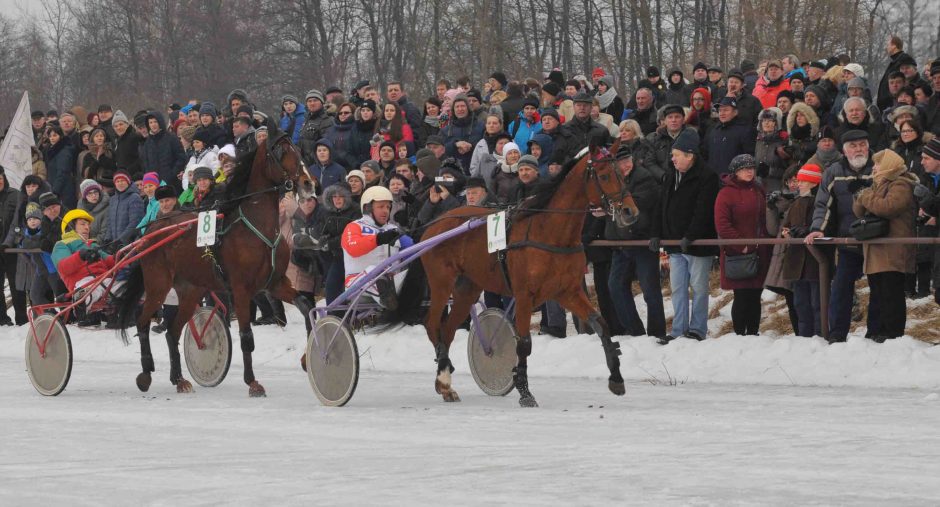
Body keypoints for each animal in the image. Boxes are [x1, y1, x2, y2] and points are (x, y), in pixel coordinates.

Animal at [114, 135, 316, 396]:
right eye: (281, 152)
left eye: (298, 150)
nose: (308, 183)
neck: (258, 228)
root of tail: (152, 230)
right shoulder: (241, 290)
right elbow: (246, 336)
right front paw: (252, 382)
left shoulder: (275, 283)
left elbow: (305, 306)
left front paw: (306, 359)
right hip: (158, 284)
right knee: (141, 321)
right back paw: (146, 373)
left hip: (190, 290)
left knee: (172, 332)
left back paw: (179, 379)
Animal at [396, 139, 640, 408]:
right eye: (605, 175)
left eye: (622, 174)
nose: (630, 212)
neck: (551, 232)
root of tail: (434, 225)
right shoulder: (525, 295)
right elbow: (523, 343)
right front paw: (524, 391)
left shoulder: (568, 291)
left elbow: (602, 326)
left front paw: (616, 378)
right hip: (441, 282)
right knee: (432, 324)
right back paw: (443, 378)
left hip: (468, 287)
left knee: (448, 329)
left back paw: (446, 380)